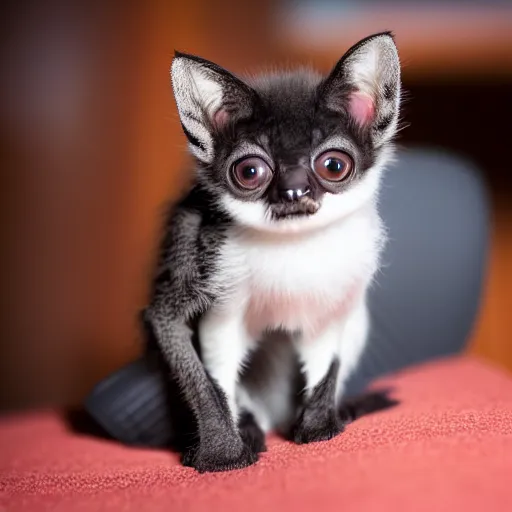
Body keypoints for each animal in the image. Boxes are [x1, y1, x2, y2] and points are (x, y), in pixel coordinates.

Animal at [144, 31, 400, 472]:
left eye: (334, 166)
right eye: (250, 172)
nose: (294, 191)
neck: (293, 247)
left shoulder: (346, 278)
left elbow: (329, 356)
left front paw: (318, 425)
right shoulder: (198, 247)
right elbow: (202, 369)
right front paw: (222, 451)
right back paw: (249, 427)